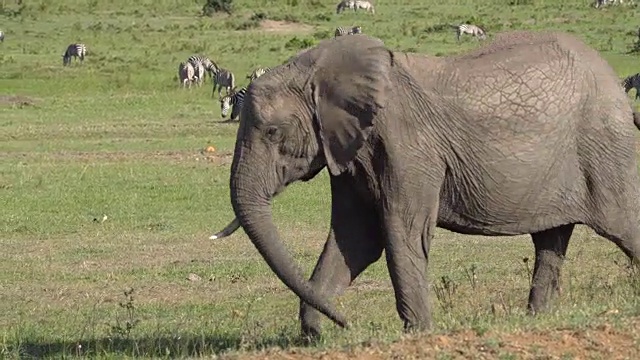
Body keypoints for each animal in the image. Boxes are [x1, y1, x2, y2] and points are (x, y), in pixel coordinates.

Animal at [219, 32, 640, 338]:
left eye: (273, 133)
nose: (346, 323)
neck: (316, 69)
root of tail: (615, 86)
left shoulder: (409, 147)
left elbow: (401, 232)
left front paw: (419, 333)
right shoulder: (350, 152)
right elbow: (355, 239)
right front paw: (314, 333)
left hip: (604, 148)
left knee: (623, 225)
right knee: (551, 240)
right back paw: (537, 322)